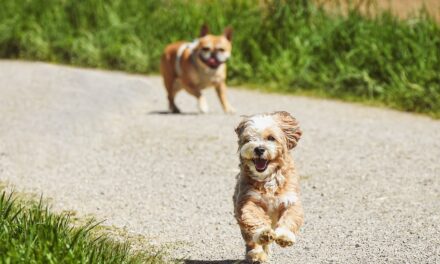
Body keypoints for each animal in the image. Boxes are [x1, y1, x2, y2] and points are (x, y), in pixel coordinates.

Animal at [234, 111, 302, 262]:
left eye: (271, 138)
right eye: (249, 139)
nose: (259, 149)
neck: (268, 178)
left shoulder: (290, 200)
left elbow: (290, 218)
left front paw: (285, 236)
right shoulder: (248, 200)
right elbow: (254, 218)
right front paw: (263, 233)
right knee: (251, 240)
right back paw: (257, 253)